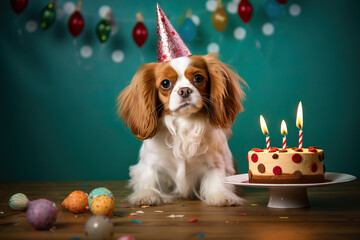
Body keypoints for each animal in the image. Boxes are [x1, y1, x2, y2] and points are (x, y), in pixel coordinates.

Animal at [116, 54, 246, 206]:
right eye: (165, 83)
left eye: (198, 78)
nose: (184, 90)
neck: (185, 122)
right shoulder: (150, 162)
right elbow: (149, 179)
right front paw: (147, 195)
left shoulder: (215, 163)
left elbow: (217, 179)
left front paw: (221, 195)